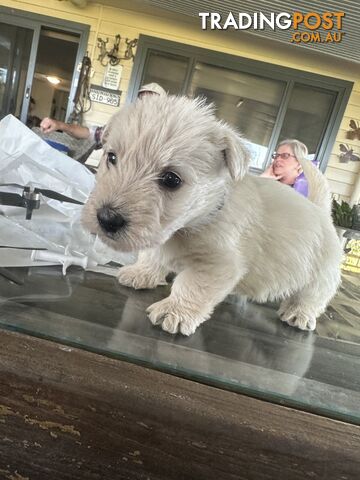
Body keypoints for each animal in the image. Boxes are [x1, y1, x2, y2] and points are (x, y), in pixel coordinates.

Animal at [82, 93, 344, 334]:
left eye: (171, 179)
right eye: (111, 157)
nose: (107, 218)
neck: (197, 219)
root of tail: (321, 210)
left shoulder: (217, 264)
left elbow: (191, 285)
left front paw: (174, 311)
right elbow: (152, 255)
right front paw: (141, 273)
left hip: (321, 274)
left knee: (313, 296)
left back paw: (298, 313)